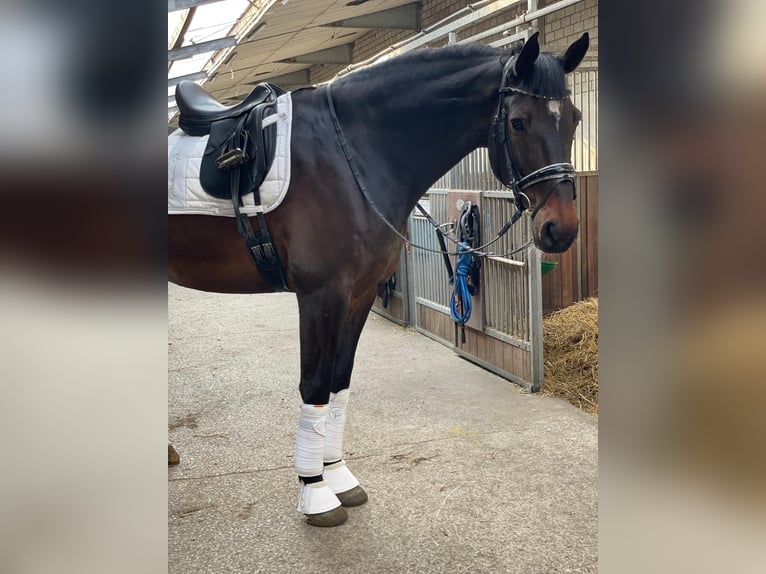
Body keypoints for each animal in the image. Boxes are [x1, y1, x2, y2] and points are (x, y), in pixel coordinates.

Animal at [168, 31, 589, 527]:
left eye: (575, 119)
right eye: (519, 122)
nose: (561, 229)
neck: (353, 152)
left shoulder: (360, 294)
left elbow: (339, 383)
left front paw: (337, 476)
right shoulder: (321, 296)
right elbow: (314, 386)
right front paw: (315, 492)